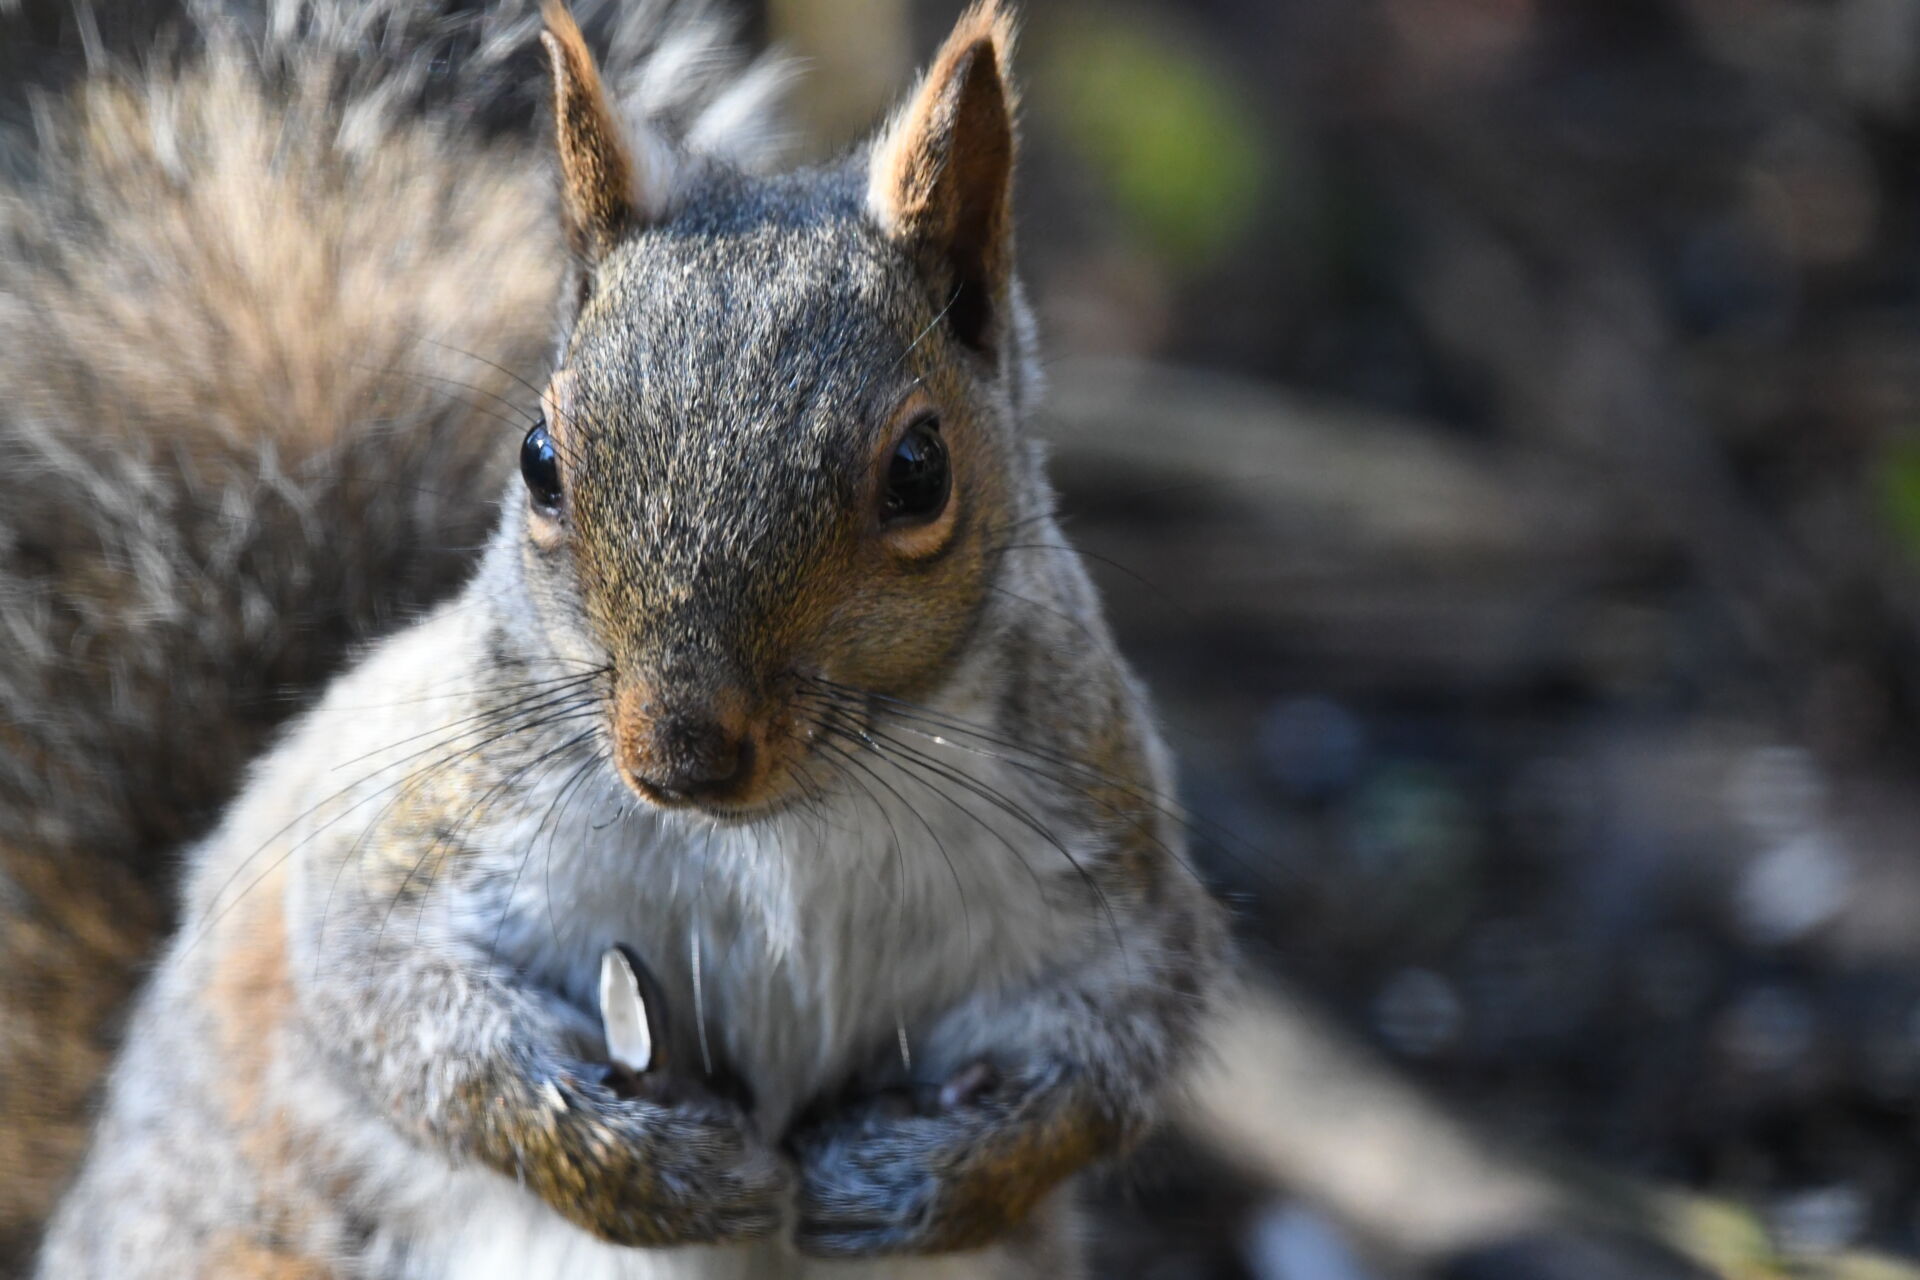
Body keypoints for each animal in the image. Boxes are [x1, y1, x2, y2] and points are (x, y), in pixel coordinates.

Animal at [27, 0, 1230, 1275]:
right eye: (539, 459)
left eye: (919, 469)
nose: (682, 754)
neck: (790, 834)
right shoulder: (414, 826)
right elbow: (396, 1005)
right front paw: (652, 1165)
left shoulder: (1105, 863)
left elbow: (1121, 1048)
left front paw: (915, 1174)